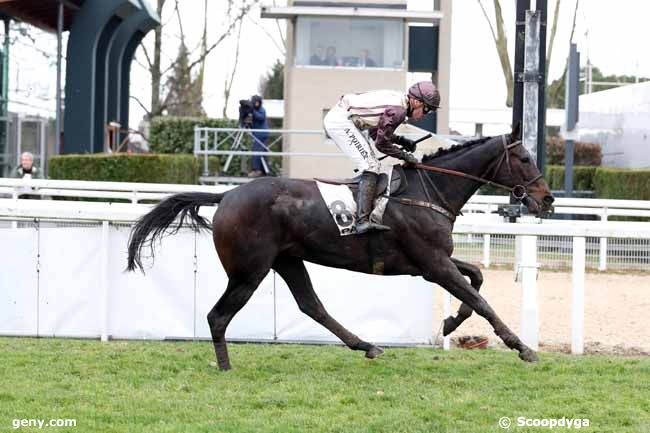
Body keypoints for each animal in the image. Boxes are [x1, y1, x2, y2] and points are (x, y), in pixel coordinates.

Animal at [126, 126, 552, 370]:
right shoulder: (432, 264)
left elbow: (476, 278)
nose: (546, 199)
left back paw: (367, 346)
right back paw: (226, 367)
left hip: (288, 261)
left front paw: (451, 322)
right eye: (524, 157)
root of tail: (227, 195)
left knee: (311, 305)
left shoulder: (432, 262)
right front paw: (522, 348)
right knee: (218, 316)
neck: (427, 191)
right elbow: (481, 300)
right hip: (249, 271)